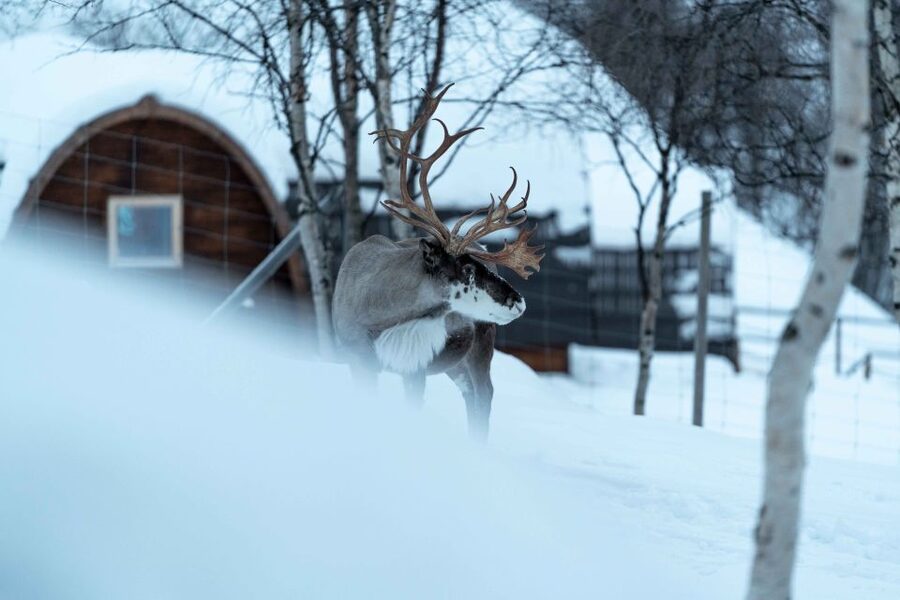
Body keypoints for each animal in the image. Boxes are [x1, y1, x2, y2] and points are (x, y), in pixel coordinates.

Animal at [332, 84, 544, 440]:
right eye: (468, 270)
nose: (519, 302)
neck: (380, 313)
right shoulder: (356, 359)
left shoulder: (414, 369)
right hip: (454, 365)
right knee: (470, 395)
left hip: (480, 348)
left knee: (484, 395)